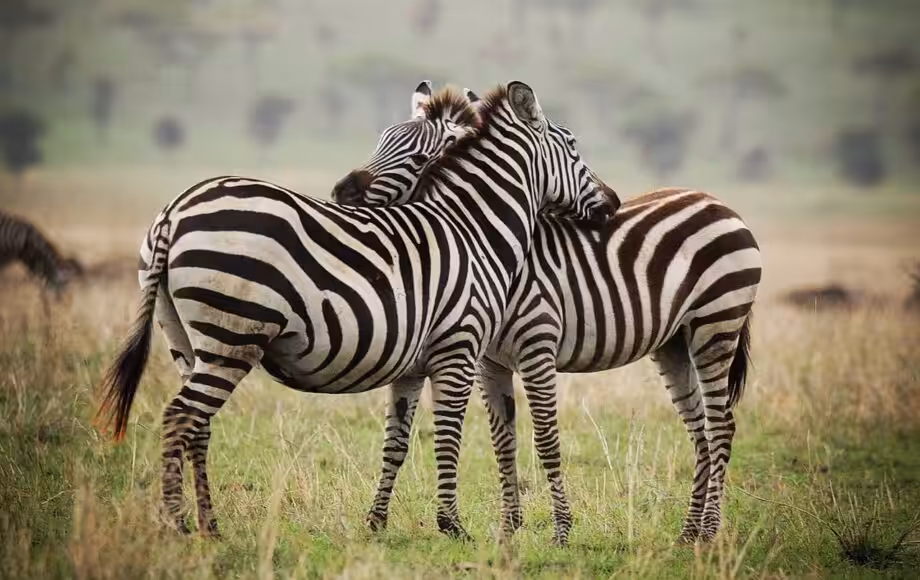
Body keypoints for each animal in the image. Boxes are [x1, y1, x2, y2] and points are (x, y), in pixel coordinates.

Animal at [95, 82, 620, 539]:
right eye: (574, 147)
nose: (613, 203)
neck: (470, 229)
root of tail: (175, 210)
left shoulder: (412, 365)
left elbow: (397, 441)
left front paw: (377, 523)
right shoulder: (458, 347)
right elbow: (448, 434)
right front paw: (451, 526)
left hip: (186, 339)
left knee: (197, 426)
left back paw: (210, 526)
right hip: (232, 335)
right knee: (180, 418)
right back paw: (177, 526)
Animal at [337, 89, 761, 545]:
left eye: (417, 157)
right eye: (380, 140)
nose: (342, 192)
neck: (495, 251)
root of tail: (713, 200)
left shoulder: (536, 348)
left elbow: (545, 438)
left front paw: (561, 531)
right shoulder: (488, 361)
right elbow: (503, 441)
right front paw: (509, 530)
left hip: (716, 324)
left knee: (721, 427)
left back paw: (710, 532)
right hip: (675, 343)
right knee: (699, 429)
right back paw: (688, 534)